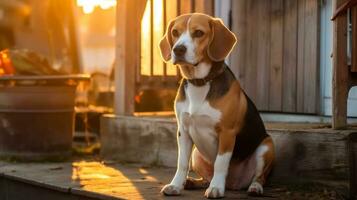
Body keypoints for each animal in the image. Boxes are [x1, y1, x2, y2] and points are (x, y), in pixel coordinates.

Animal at [158, 13, 272, 198]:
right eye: (175, 32)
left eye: (198, 33)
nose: (178, 49)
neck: (200, 82)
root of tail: (234, 184)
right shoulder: (183, 131)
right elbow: (181, 163)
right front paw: (175, 185)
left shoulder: (227, 133)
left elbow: (220, 163)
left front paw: (216, 188)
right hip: (197, 154)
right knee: (205, 177)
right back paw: (192, 182)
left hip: (266, 146)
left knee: (259, 177)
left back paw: (254, 187)